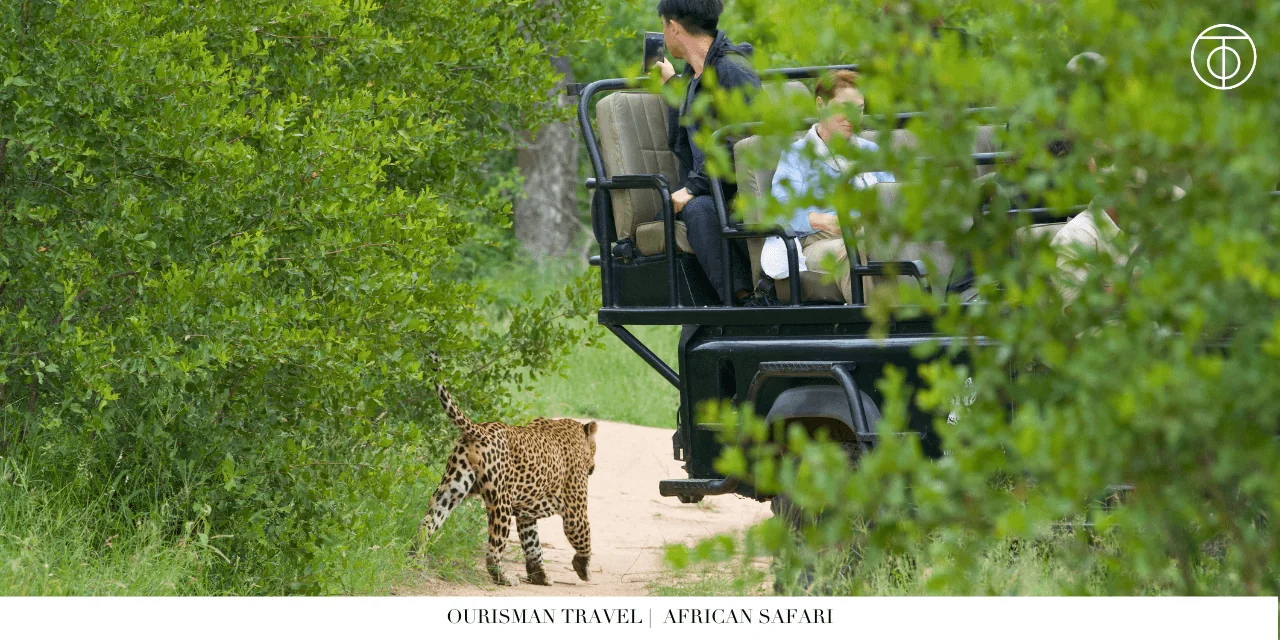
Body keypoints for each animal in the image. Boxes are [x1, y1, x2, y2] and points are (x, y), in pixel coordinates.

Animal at [409, 360, 598, 587]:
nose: (594, 467)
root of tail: (479, 430)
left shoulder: (526, 515)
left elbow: (533, 544)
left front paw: (539, 575)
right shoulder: (575, 510)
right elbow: (584, 536)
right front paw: (584, 568)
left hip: (451, 488)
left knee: (426, 523)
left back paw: (414, 560)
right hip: (501, 502)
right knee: (493, 550)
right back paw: (504, 577)